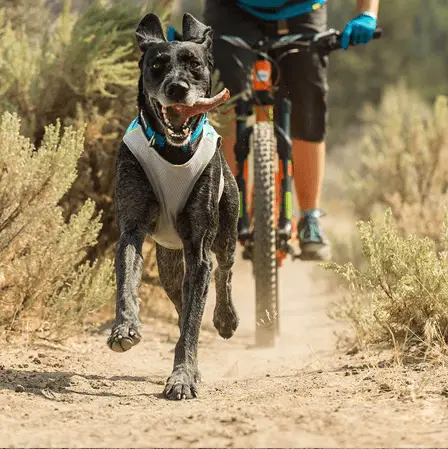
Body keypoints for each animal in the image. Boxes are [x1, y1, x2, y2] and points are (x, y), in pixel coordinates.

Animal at [107, 11, 240, 400]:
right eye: (157, 64)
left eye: (194, 64)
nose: (176, 88)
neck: (172, 151)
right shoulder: (132, 229)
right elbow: (126, 283)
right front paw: (125, 328)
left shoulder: (198, 247)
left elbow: (194, 321)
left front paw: (182, 377)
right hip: (168, 263)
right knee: (180, 302)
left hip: (225, 232)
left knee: (224, 271)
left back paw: (225, 319)